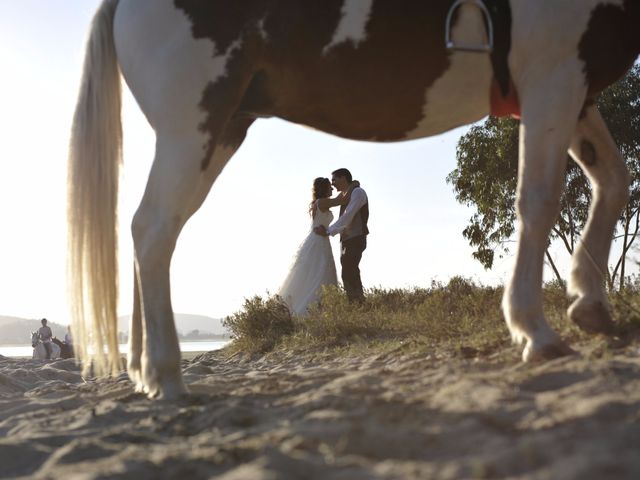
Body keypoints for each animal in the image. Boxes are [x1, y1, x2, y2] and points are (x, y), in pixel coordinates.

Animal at [69, 0, 640, 398]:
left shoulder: (577, 91)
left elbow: (613, 180)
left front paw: (590, 305)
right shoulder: (553, 77)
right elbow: (538, 199)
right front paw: (535, 332)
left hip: (220, 127)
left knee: (146, 233)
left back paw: (145, 371)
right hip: (195, 131)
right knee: (153, 229)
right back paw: (166, 374)